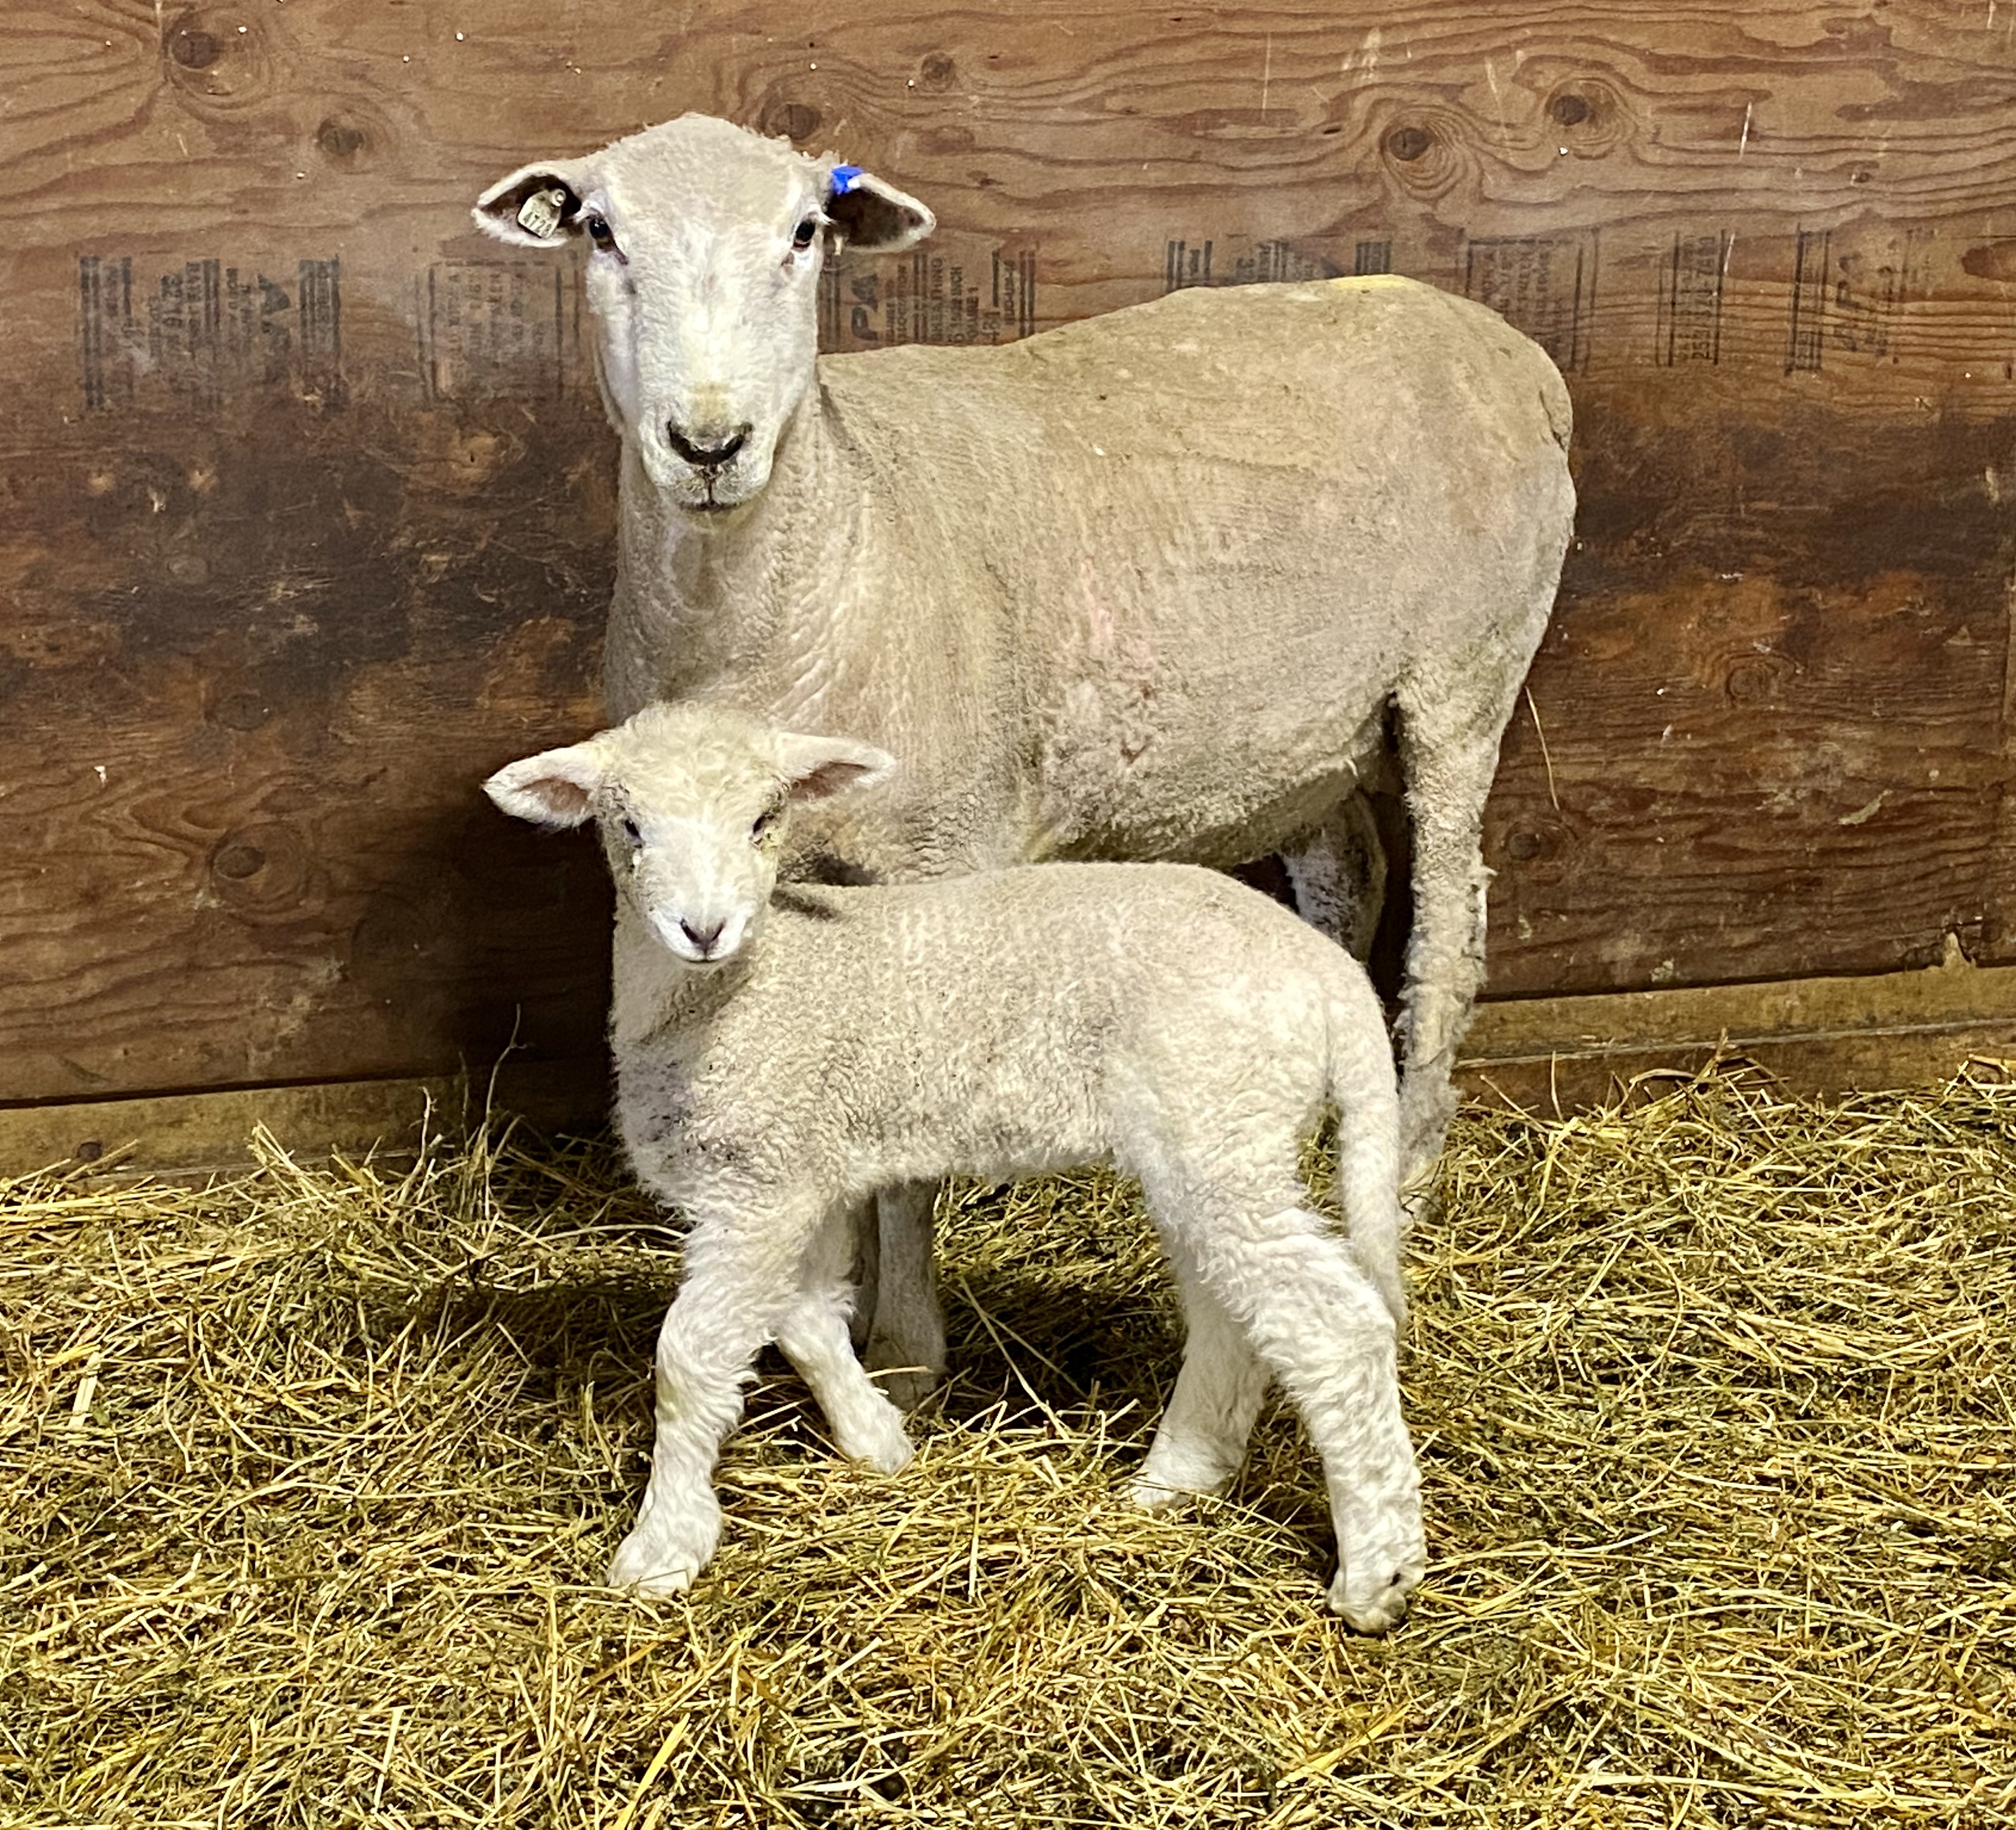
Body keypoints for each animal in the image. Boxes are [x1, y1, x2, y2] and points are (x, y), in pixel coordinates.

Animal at [471, 111, 1572, 1402]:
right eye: (600, 231)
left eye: (804, 233)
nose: (707, 442)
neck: (832, 534)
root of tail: (1510, 347)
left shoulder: (942, 853)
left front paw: (904, 1350)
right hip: (1302, 729)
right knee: (1349, 877)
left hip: (1463, 676)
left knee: (1450, 924)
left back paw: (1407, 1174)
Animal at [483, 709, 1435, 1636]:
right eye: (629, 826)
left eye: (764, 820)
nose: (705, 929)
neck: (747, 985)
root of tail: (1328, 972)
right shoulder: (800, 1172)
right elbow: (807, 1320)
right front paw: (880, 1440)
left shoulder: (762, 1183)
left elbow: (690, 1360)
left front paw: (663, 1547)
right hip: (1211, 1138)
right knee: (1233, 1313)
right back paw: (1176, 1478)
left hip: (1224, 1118)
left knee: (1333, 1324)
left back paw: (1376, 1571)